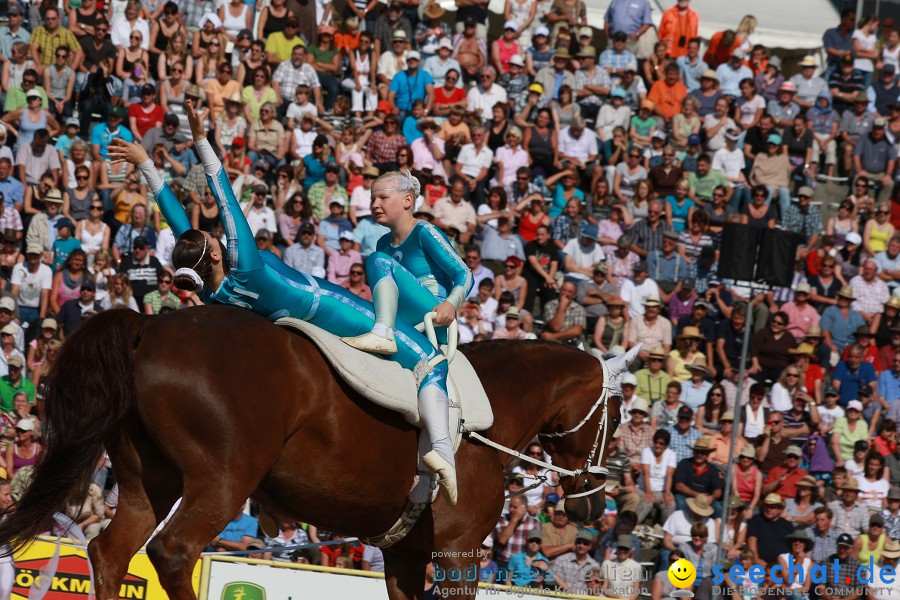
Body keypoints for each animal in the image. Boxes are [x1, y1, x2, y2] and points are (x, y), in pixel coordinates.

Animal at [0, 308, 624, 596]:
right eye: (617, 415)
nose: (594, 503)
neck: (485, 412)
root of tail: (148, 326)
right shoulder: (458, 552)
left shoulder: (403, 557)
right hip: (222, 481)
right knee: (173, 552)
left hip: (148, 483)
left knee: (110, 554)